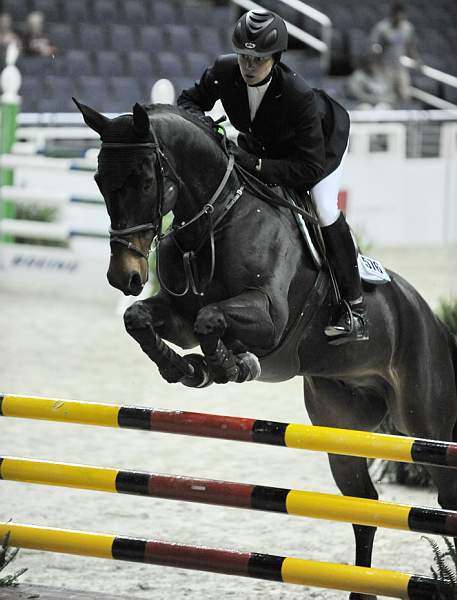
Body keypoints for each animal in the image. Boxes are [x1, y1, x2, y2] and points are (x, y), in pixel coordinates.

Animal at [75, 99, 456, 600]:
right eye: (100, 180)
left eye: (144, 180)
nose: (125, 276)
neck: (214, 221)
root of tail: (428, 316)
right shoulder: (178, 316)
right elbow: (141, 319)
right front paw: (186, 368)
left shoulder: (268, 317)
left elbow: (212, 319)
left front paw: (229, 365)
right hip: (340, 425)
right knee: (364, 507)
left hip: (425, 424)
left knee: (443, 493)